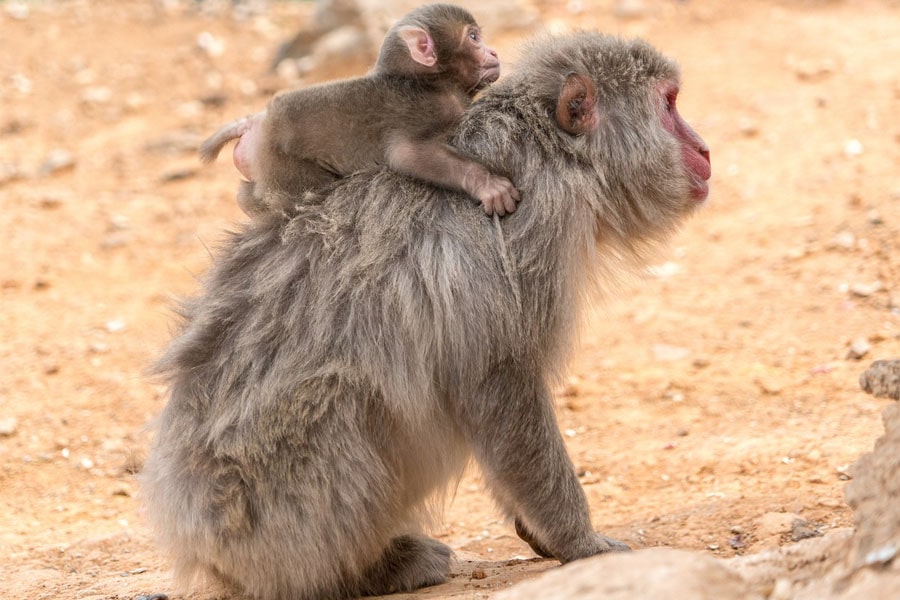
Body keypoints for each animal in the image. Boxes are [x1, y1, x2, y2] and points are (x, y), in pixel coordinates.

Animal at [142, 31, 712, 600]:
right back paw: (367, 571)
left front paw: (535, 530)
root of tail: (197, 541)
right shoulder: (533, 226)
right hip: (272, 520)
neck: (552, 152)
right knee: (350, 394)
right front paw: (578, 541)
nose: (705, 149)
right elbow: (497, 383)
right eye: (670, 104)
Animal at [200, 3, 516, 217]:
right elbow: (407, 155)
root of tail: (257, 124)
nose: (493, 52)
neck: (430, 82)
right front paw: (487, 184)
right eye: (473, 38)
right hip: (278, 161)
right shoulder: (426, 110)